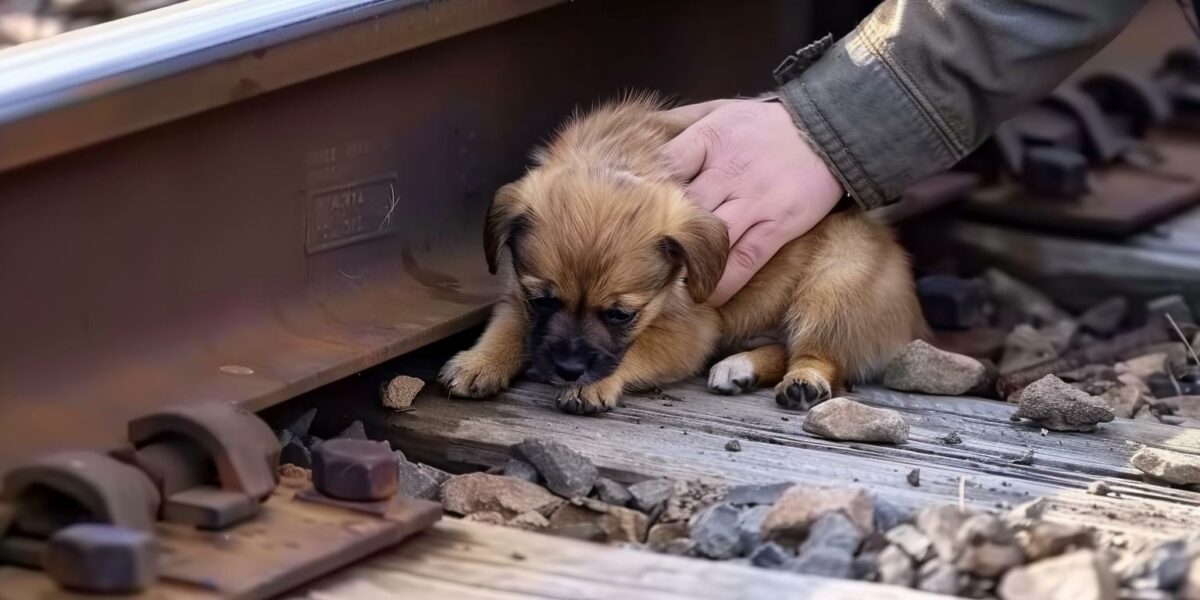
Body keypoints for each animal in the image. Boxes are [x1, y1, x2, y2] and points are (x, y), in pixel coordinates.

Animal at [441, 96, 926, 415]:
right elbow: (508, 327)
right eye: (541, 300)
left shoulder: (688, 332)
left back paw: (802, 381)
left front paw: (594, 385)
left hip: (834, 283)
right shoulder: (515, 294)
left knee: (820, 355)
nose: (568, 369)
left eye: (621, 315)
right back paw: (740, 368)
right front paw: (479, 362)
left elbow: (637, 349)